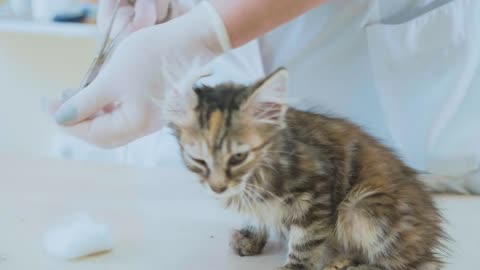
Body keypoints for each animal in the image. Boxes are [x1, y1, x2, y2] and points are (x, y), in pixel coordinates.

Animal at [168, 68, 446, 270]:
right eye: (197, 160)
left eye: (238, 157)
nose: (217, 188)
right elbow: (257, 214)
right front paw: (251, 237)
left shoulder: (316, 194)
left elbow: (305, 241)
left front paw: (293, 268)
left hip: (361, 209)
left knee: (413, 264)